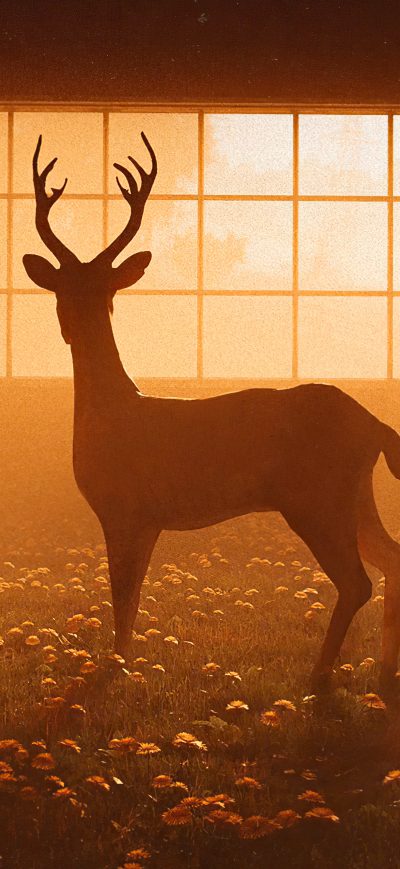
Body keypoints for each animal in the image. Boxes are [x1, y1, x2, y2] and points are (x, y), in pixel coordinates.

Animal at [22, 133, 400, 695]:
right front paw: (123, 661)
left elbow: (122, 597)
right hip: (356, 493)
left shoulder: (125, 508)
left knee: (357, 581)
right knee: (393, 557)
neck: (112, 412)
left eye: (103, 289)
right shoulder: (147, 517)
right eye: (64, 286)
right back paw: (382, 669)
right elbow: (131, 596)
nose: (70, 323)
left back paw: (319, 676)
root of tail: (374, 424)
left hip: (316, 496)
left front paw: (116, 667)